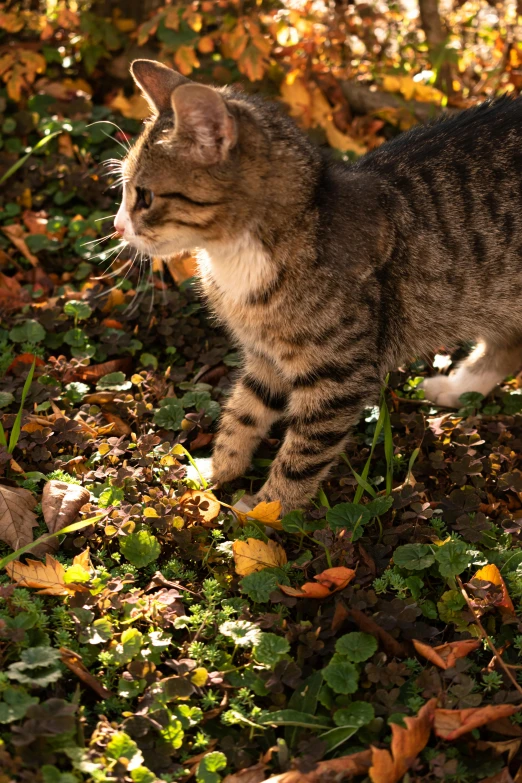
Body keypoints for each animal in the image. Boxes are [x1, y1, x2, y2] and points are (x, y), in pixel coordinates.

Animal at [115, 59, 522, 516]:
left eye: (145, 197)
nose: (116, 226)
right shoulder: (265, 355)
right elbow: (243, 412)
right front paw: (217, 473)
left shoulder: (339, 374)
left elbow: (304, 454)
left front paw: (265, 510)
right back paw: (456, 389)